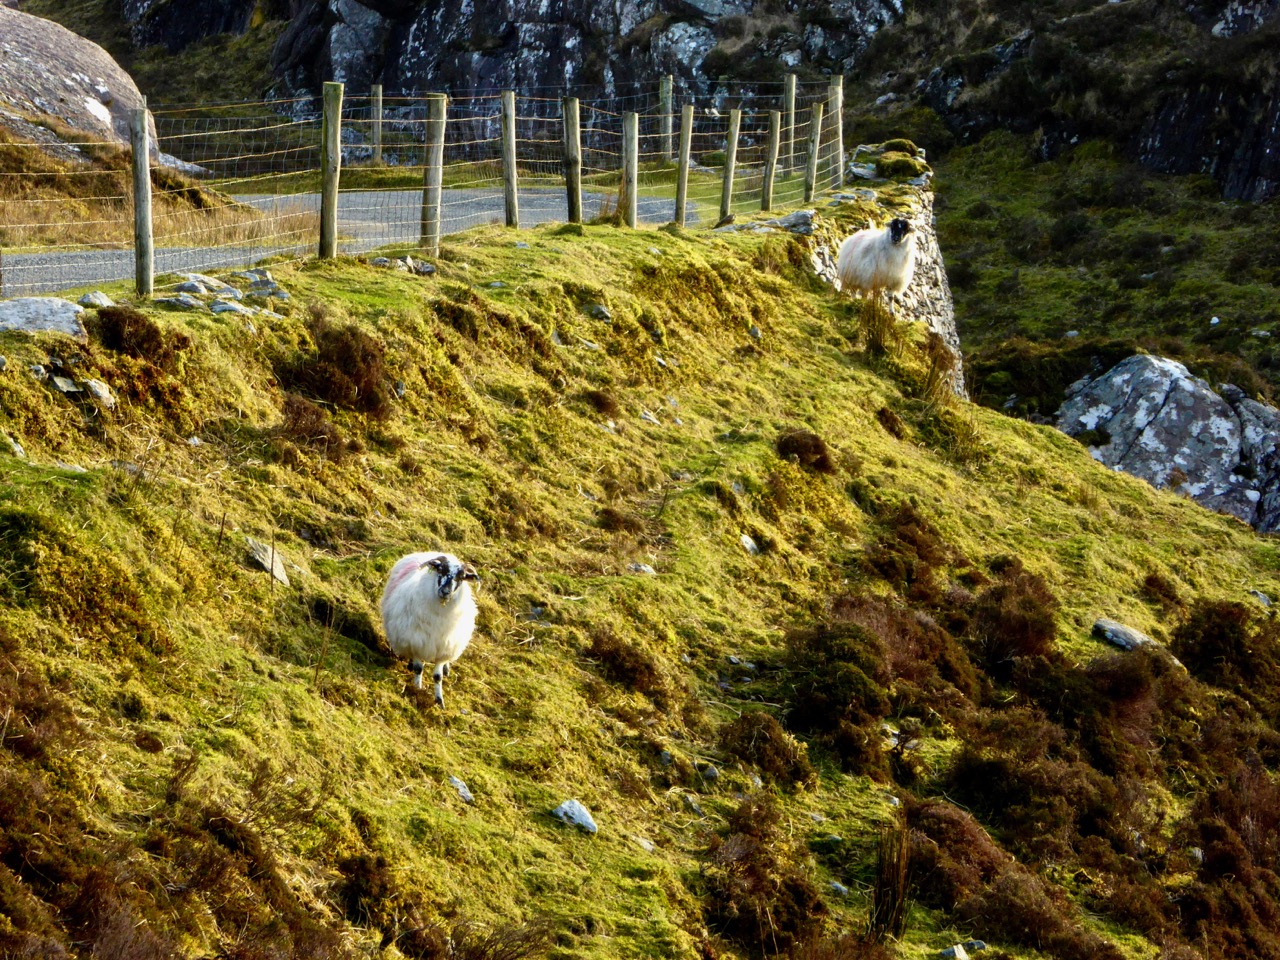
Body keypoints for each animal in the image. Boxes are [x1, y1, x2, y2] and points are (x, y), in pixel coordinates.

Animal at [381, 551, 479, 707]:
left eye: (461, 576)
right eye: (440, 570)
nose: (445, 591)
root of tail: (429, 552)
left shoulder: (443, 648)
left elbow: (438, 676)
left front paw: (439, 700)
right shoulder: (414, 640)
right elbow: (418, 668)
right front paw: (417, 688)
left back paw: (447, 668)